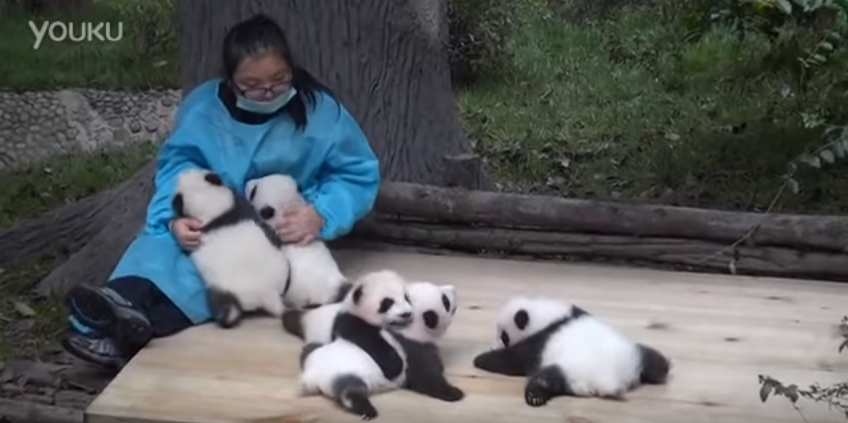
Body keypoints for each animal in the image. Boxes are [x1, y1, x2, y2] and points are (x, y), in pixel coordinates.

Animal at [297, 270, 414, 420]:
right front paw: (396, 365)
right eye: (388, 302)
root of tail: (311, 377)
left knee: (309, 349)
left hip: (316, 354)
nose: (407, 314)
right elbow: (377, 348)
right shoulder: (353, 323)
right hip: (349, 375)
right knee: (351, 392)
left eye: (406, 297)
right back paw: (366, 410)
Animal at [472, 295, 671, 407]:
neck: (551, 316)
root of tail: (612, 380)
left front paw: (481, 359)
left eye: (504, 336)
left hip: (572, 369)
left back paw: (535, 396)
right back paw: (663, 368)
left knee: (546, 378)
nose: (494, 345)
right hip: (633, 354)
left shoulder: (539, 342)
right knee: (652, 359)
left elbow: (513, 359)